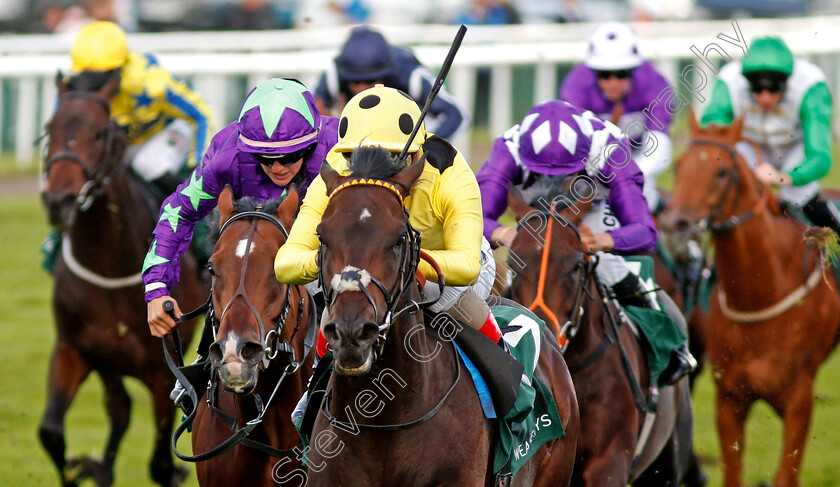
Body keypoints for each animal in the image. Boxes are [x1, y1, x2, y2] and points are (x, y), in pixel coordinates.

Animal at [38, 74, 206, 486]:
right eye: (50, 128)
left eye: (100, 132)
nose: (59, 201)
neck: (109, 263)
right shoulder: (77, 349)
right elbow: (52, 432)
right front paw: (82, 467)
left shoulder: (162, 373)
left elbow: (161, 464)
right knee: (120, 409)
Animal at [664, 116, 840, 486]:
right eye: (678, 167)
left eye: (721, 172)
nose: (675, 226)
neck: (759, 292)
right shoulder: (729, 399)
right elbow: (732, 473)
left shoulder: (800, 402)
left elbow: (785, 475)